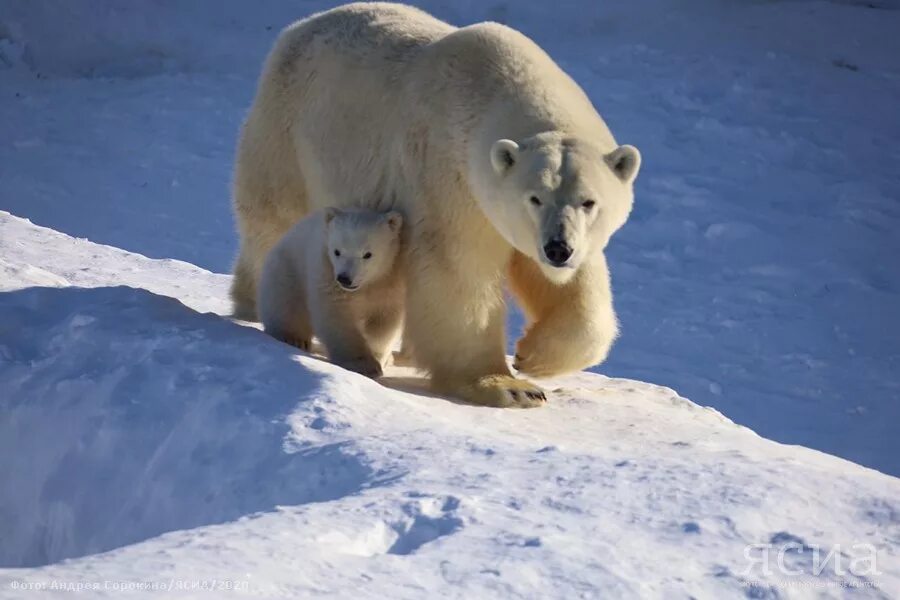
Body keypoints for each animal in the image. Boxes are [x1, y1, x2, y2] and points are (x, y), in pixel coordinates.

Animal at [232, 2, 640, 408]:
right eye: (535, 198)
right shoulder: (448, 175)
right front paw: (506, 385)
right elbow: (457, 272)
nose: (557, 248)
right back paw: (256, 306)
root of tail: (301, 26)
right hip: (288, 133)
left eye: (589, 201)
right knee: (274, 219)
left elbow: (570, 284)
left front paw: (533, 355)